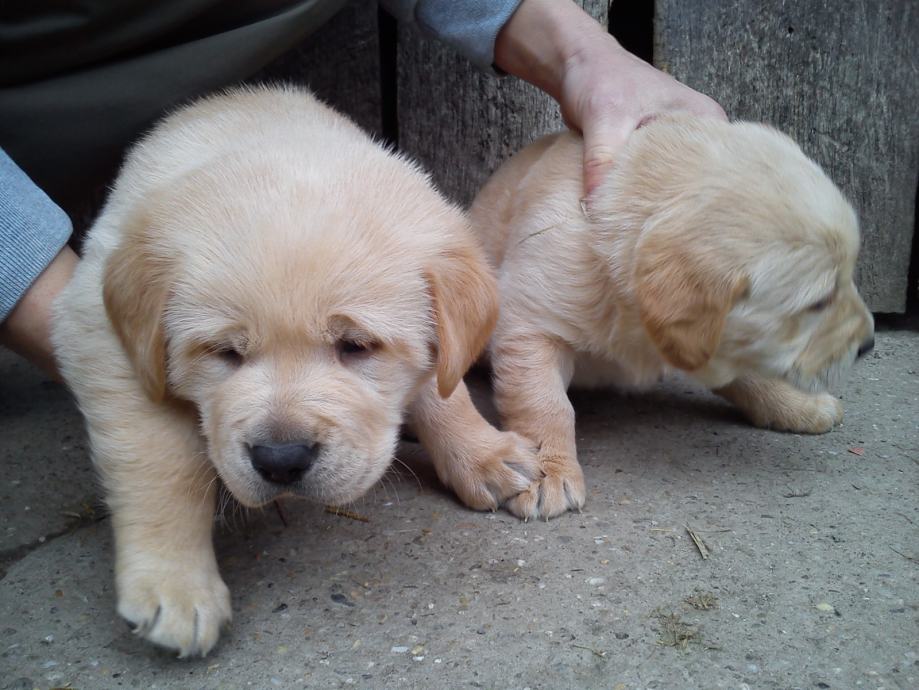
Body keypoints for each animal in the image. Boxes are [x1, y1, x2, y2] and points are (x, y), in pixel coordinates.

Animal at [52, 83, 540, 652]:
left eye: (356, 346)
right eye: (225, 352)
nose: (281, 461)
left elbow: (442, 391)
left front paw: (483, 454)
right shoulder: (101, 335)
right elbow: (159, 459)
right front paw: (175, 584)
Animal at [468, 115, 876, 520]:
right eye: (818, 303)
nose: (868, 345)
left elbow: (750, 370)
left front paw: (799, 405)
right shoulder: (530, 323)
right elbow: (546, 405)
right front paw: (546, 471)